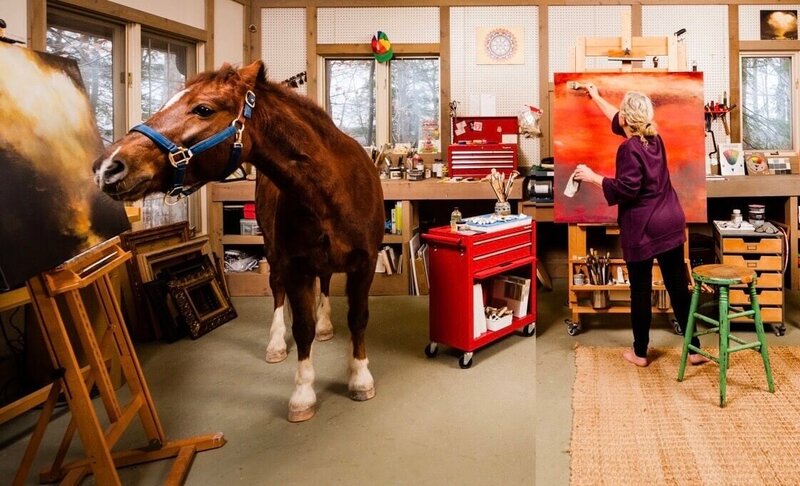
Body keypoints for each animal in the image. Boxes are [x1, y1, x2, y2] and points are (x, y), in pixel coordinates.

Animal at [93, 60, 385, 422]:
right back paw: (276, 343)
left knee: (327, 282)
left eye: (203, 109)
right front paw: (303, 394)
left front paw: (359, 377)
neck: (331, 190)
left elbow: (358, 318)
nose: (109, 166)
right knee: (277, 292)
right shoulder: (296, 267)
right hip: (273, 254)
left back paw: (326, 325)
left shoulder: (365, 262)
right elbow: (302, 327)